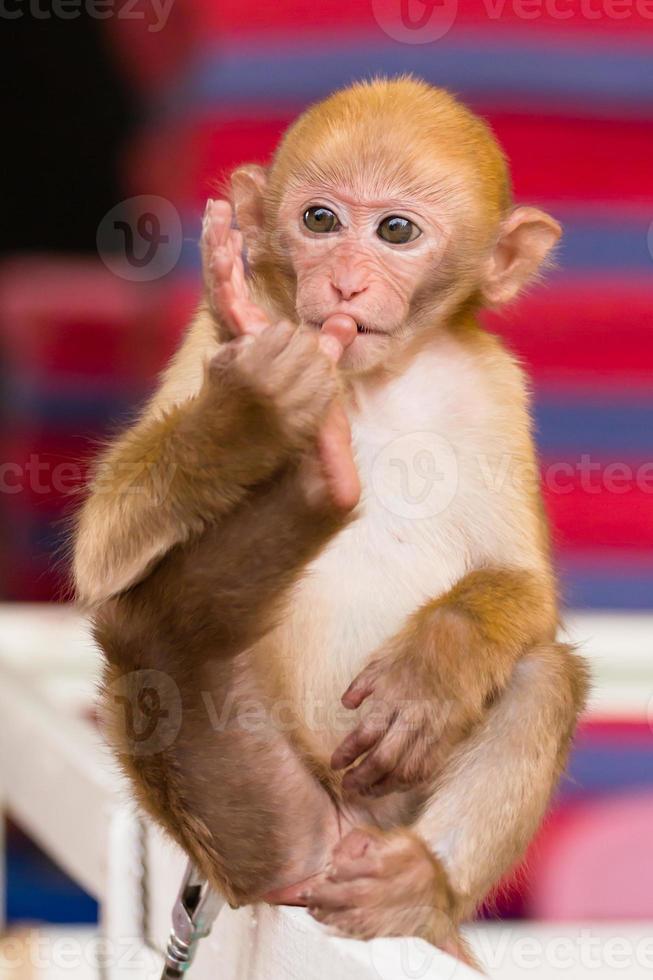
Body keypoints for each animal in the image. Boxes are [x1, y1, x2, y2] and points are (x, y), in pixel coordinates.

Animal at [75, 76, 584, 964]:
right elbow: (101, 553)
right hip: (257, 809)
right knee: (151, 631)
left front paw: (435, 665)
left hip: (385, 822)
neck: (370, 382)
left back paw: (415, 886)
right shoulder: (205, 343)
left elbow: (526, 589)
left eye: (394, 231)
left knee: (541, 669)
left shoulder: (492, 390)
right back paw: (316, 483)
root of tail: (335, 835)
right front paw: (254, 405)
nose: (344, 284)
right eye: (319, 220)